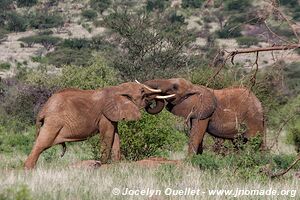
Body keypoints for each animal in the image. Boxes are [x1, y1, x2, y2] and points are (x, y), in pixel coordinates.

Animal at [23, 81, 170, 169]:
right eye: (143, 92)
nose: (150, 103)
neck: (118, 88)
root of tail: (43, 109)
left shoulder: (113, 115)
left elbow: (115, 137)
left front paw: (116, 164)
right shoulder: (104, 115)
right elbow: (108, 136)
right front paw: (102, 165)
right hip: (54, 122)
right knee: (41, 144)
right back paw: (28, 170)